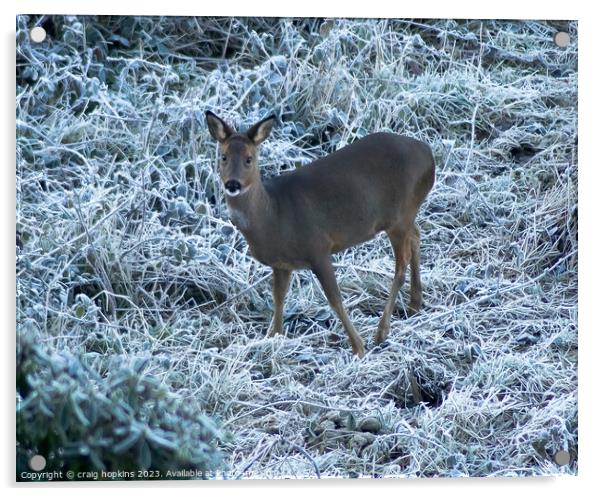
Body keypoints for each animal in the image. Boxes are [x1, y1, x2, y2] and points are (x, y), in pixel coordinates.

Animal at [205, 112, 432, 356]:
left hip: (399, 216)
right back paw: (414, 304)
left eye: (249, 158)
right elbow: (279, 298)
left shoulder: (318, 247)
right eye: (223, 157)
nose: (233, 184)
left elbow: (335, 299)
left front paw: (358, 348)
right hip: (405, 216)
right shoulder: (281, 264)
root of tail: (428, 153)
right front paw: (273, 337)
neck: (273, 215)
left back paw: (381, 333)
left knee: (401, 265)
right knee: (416, 236)